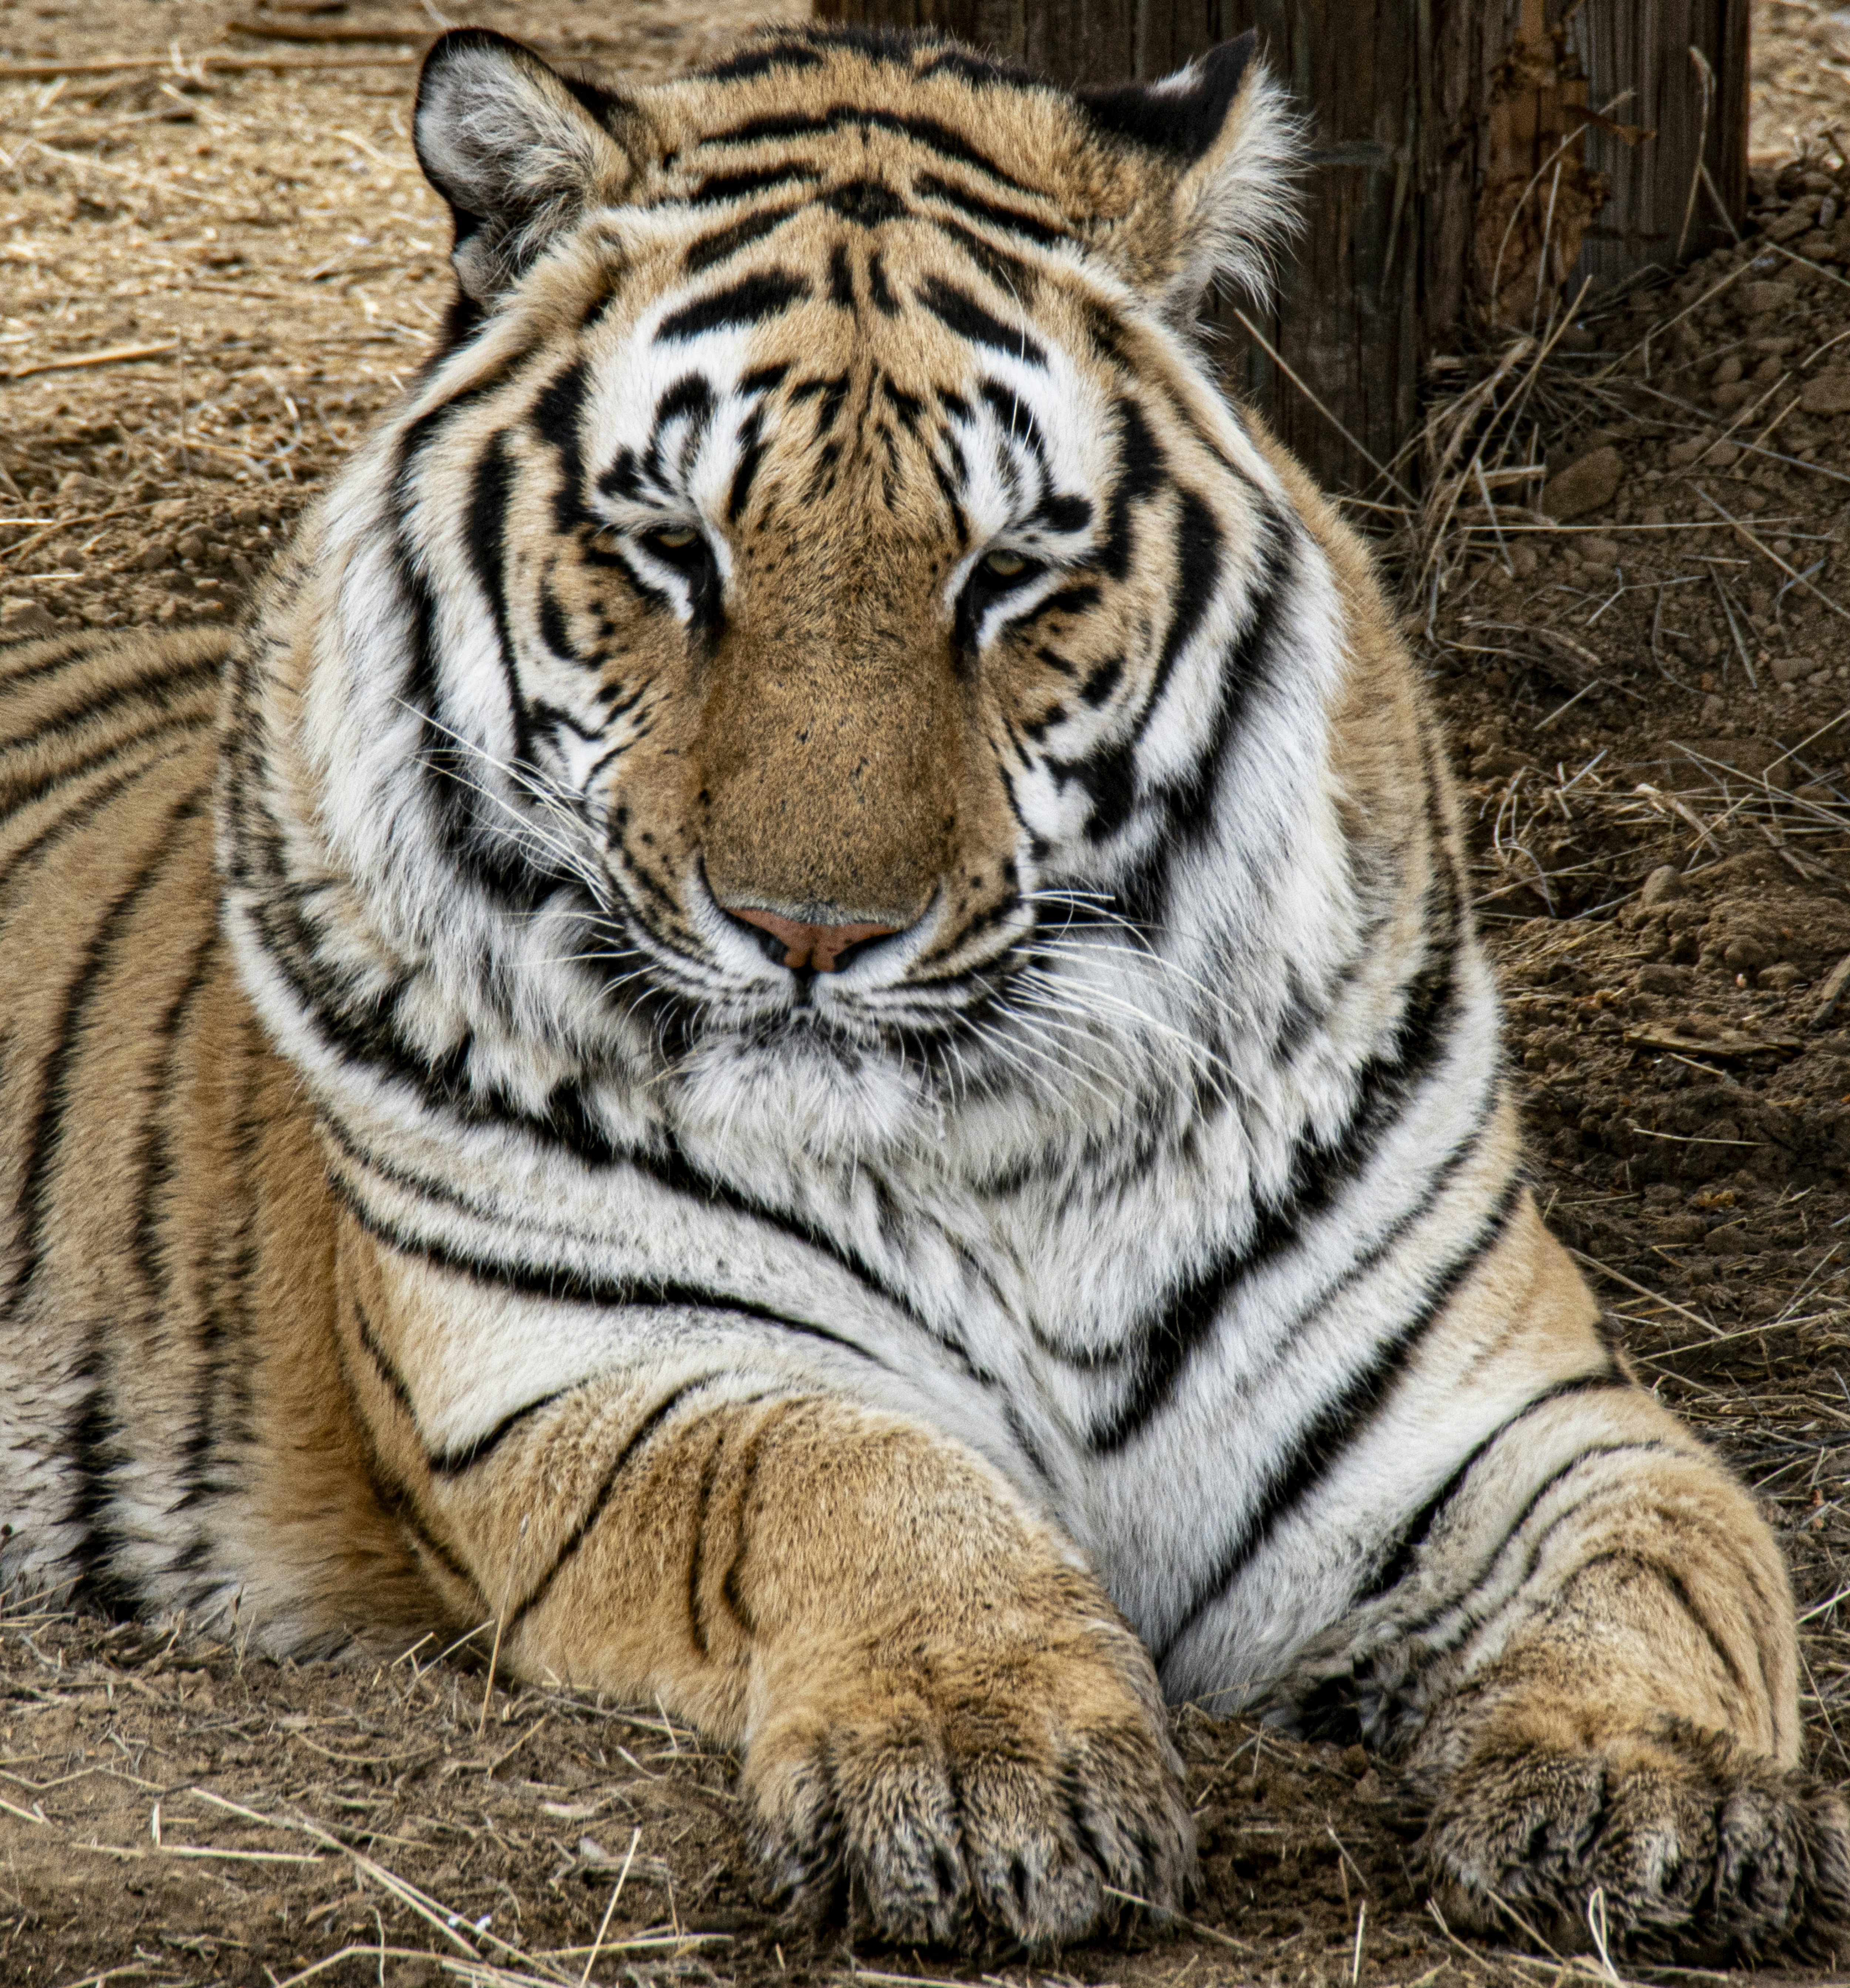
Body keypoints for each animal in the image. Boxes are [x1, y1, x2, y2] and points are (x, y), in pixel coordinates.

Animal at [1, 17, 1845, 1960]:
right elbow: (860, 1487)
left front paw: (1646, 1784)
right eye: (672, 551)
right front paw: (978, 1759)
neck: (997, 1156)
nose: (810, 929)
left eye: (1010, 572)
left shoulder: (1504, 1414)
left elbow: (1673, 1553)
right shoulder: (603, 1372)